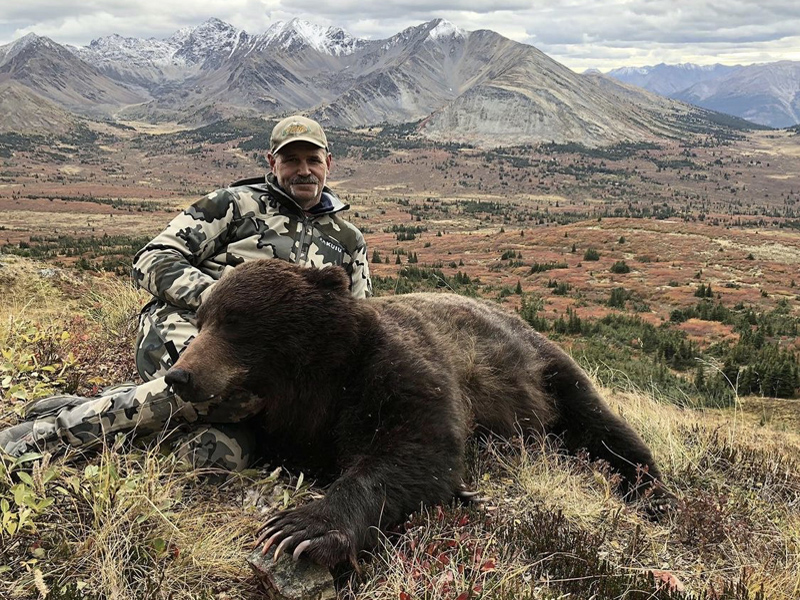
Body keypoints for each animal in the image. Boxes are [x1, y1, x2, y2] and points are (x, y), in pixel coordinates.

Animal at [165, 259, 674, 569]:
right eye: (201, 319)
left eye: (235, 322)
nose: (179, 375)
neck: (319, 382)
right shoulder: (300, 428)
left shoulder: (396, 366)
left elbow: (419, 448)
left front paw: (299, 528)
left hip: (544, 369)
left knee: (603, 429)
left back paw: (655, 496)